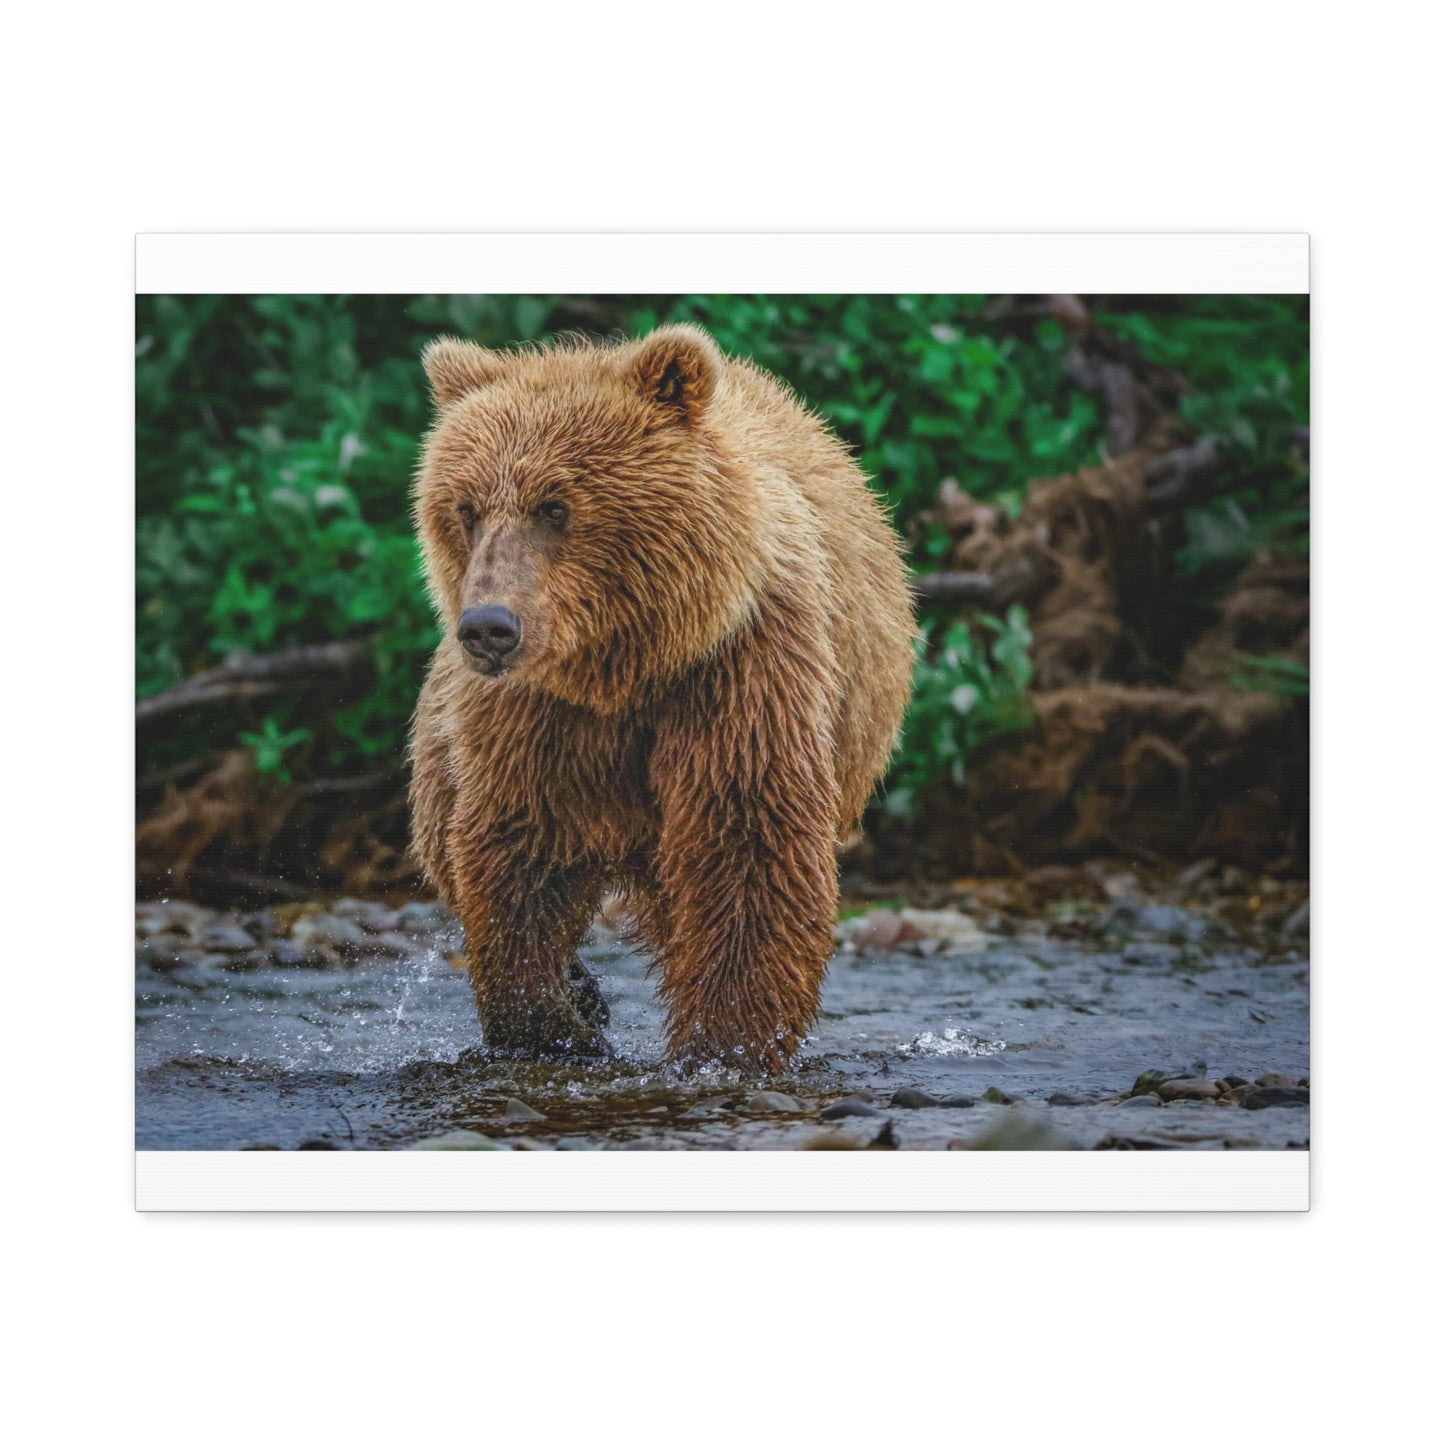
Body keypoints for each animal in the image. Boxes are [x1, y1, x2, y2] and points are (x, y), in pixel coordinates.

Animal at [408, 323, 915, 1072]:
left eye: (554, 506)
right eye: (465, 508)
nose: (489, 628)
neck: (627, 666)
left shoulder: (739, 670)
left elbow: (747, 845)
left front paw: (724, 1041)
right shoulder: (538, 716)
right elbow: (518, 847)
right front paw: (555, 1022)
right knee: (442, 837)